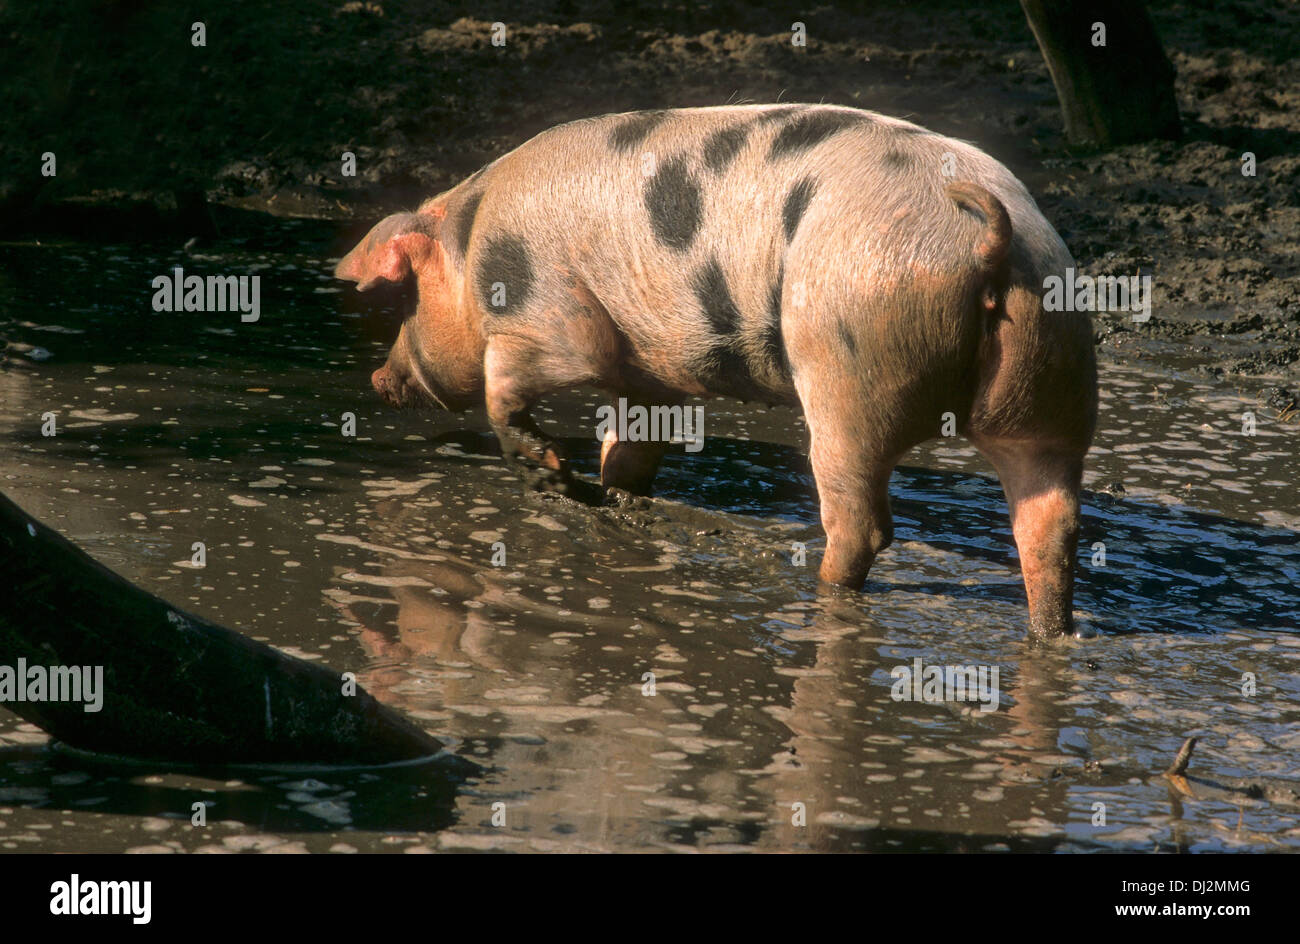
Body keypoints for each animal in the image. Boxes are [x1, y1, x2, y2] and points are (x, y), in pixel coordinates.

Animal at [335, 104, 1098, 638]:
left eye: (407, 300)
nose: (377, 380)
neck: (472, 249)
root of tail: (986, 236)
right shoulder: (647, 373)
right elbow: (632, 443)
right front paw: (611, 498)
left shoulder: (546, 321)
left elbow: (512, 390)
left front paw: (555, 478)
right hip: (1054, 378)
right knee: (1050, 522)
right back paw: (1049, 634)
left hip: (847, 370)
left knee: (861, 520)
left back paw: (816, 596)